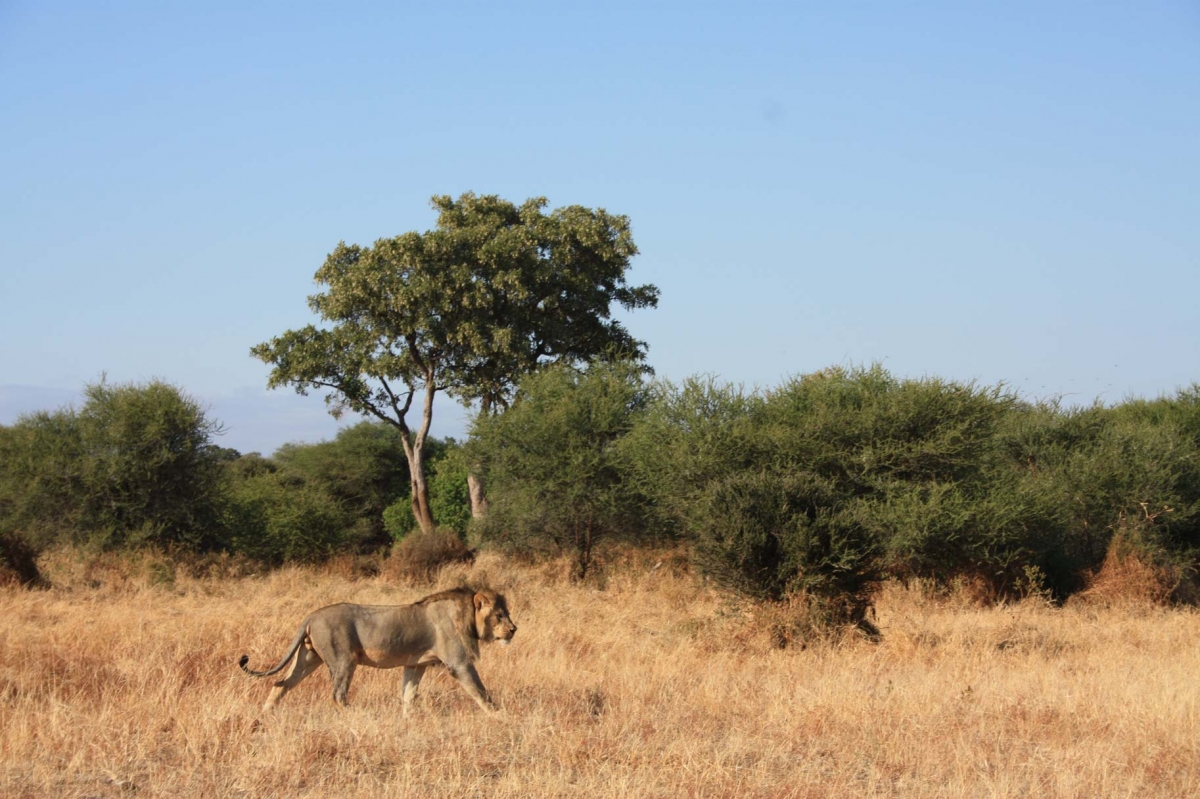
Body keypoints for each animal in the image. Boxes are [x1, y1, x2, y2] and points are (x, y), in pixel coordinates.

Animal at [238, 585, 516, 710]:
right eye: (499, 615)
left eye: (507, 614)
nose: (514, 629)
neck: (466, 615)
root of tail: (311, 616)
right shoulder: (459, 663)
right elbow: (481, 693)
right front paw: (499, 716)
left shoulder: (416, 664)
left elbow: (408, 695)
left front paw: (407, 720)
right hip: (343, 660)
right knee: (338, 695)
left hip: (308, 658)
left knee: (280, 684)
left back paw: (265, 715)